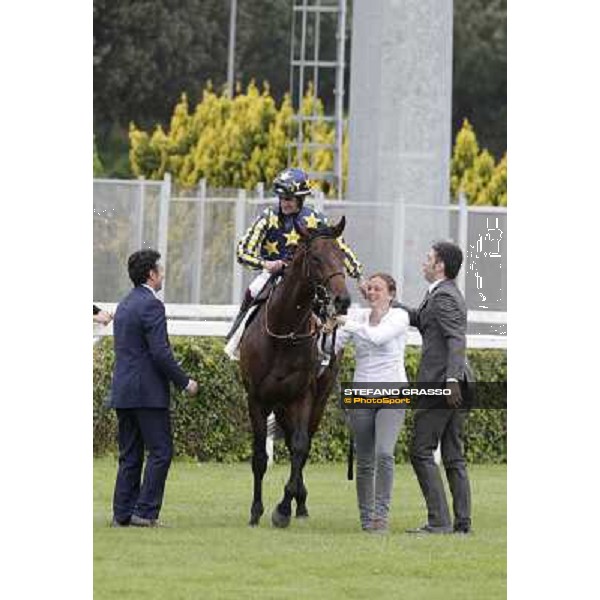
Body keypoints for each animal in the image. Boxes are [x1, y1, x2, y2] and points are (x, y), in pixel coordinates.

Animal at [238, 218, 352, 528]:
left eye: (342, 256)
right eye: (316, 258)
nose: (343, 300)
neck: (283, 333)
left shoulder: (302, 395)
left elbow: (300, 447)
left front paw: (283, 508)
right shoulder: (257, 399)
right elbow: (259, 457)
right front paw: (255, 510)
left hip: (318, 398)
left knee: (302, 444)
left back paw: (299, 503)